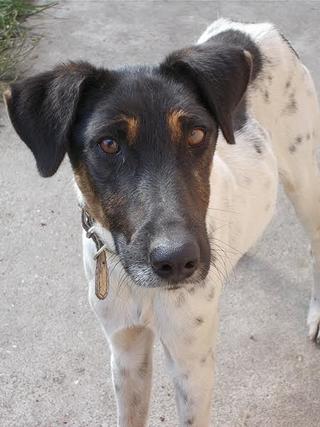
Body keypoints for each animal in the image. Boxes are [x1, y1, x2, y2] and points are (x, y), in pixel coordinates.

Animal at [4, 17, 320, 427]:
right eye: (108, 144)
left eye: (198, 133)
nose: (178, 261)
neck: (138, 286)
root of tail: (253, 27)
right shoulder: (125, 351)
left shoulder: (191, 365)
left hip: (305, 179)